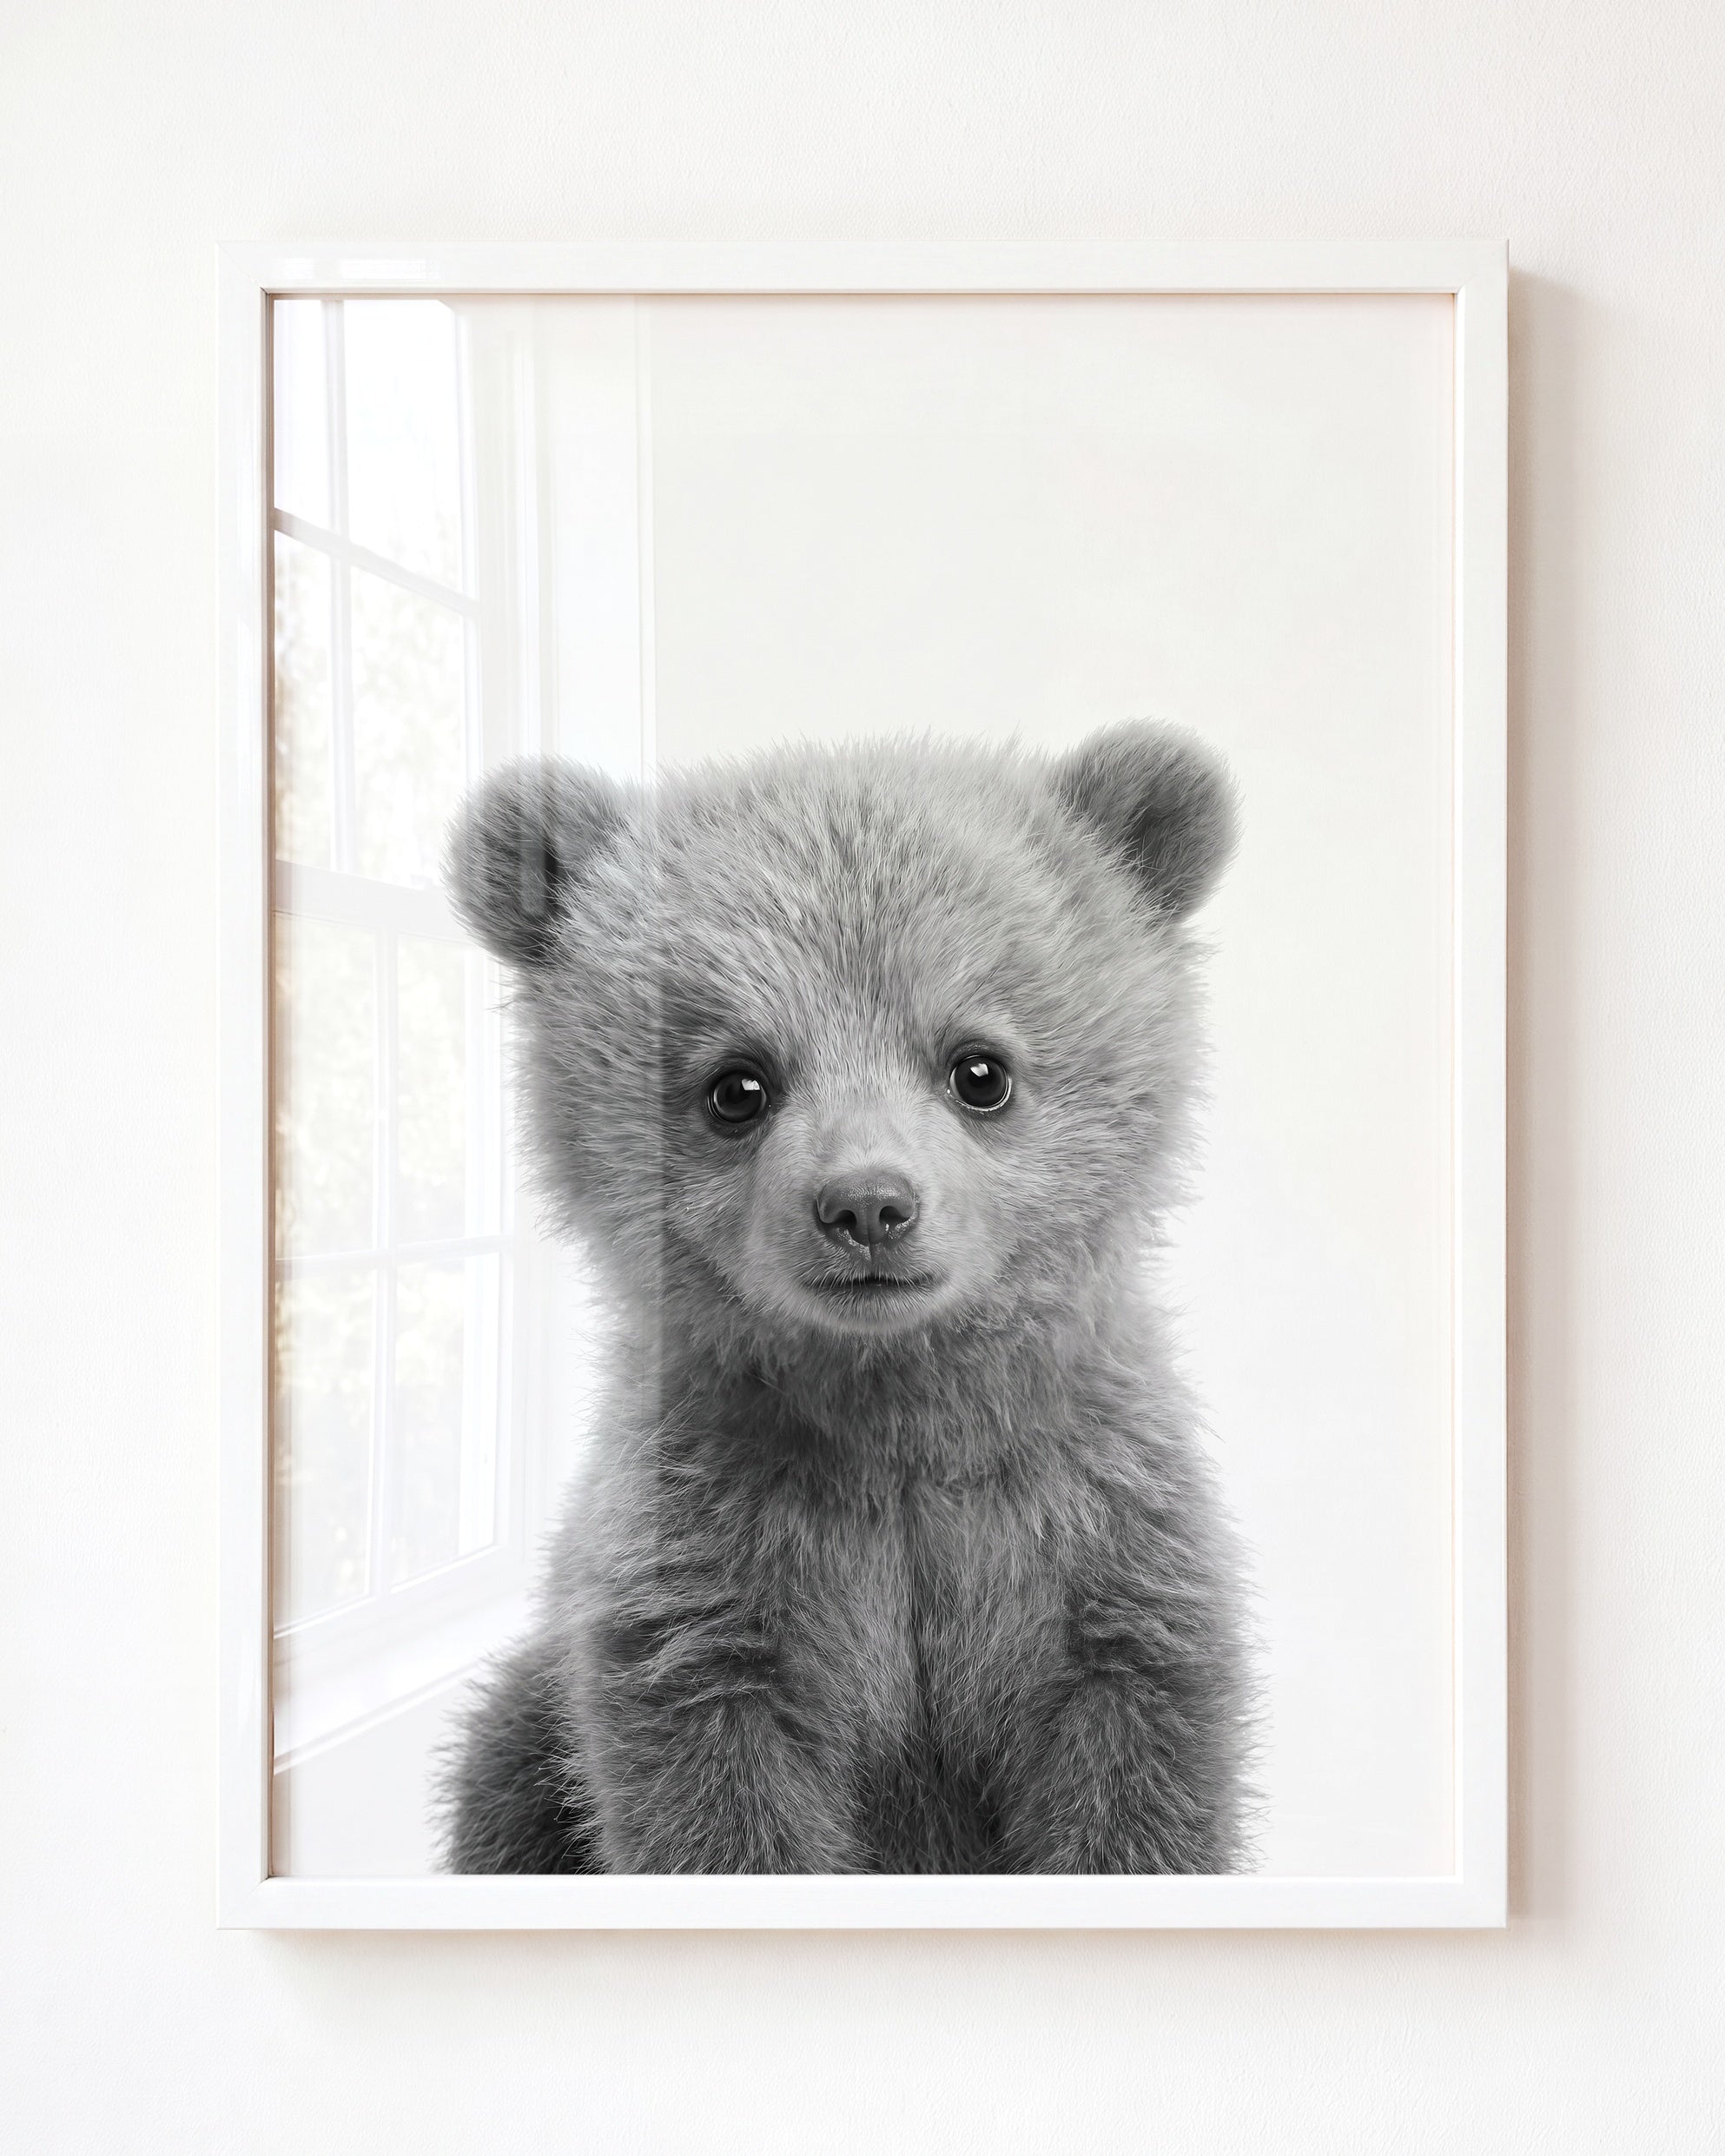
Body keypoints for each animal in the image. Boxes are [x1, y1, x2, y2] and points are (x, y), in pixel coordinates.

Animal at [438, 721, 1256, 1875]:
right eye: (737, 1084)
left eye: (979, 1068)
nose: (868, 1205)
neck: (895, 1417)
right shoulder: (710, 1585)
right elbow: (720, 1808)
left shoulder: (1094, 1552)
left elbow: (1135, 1792)